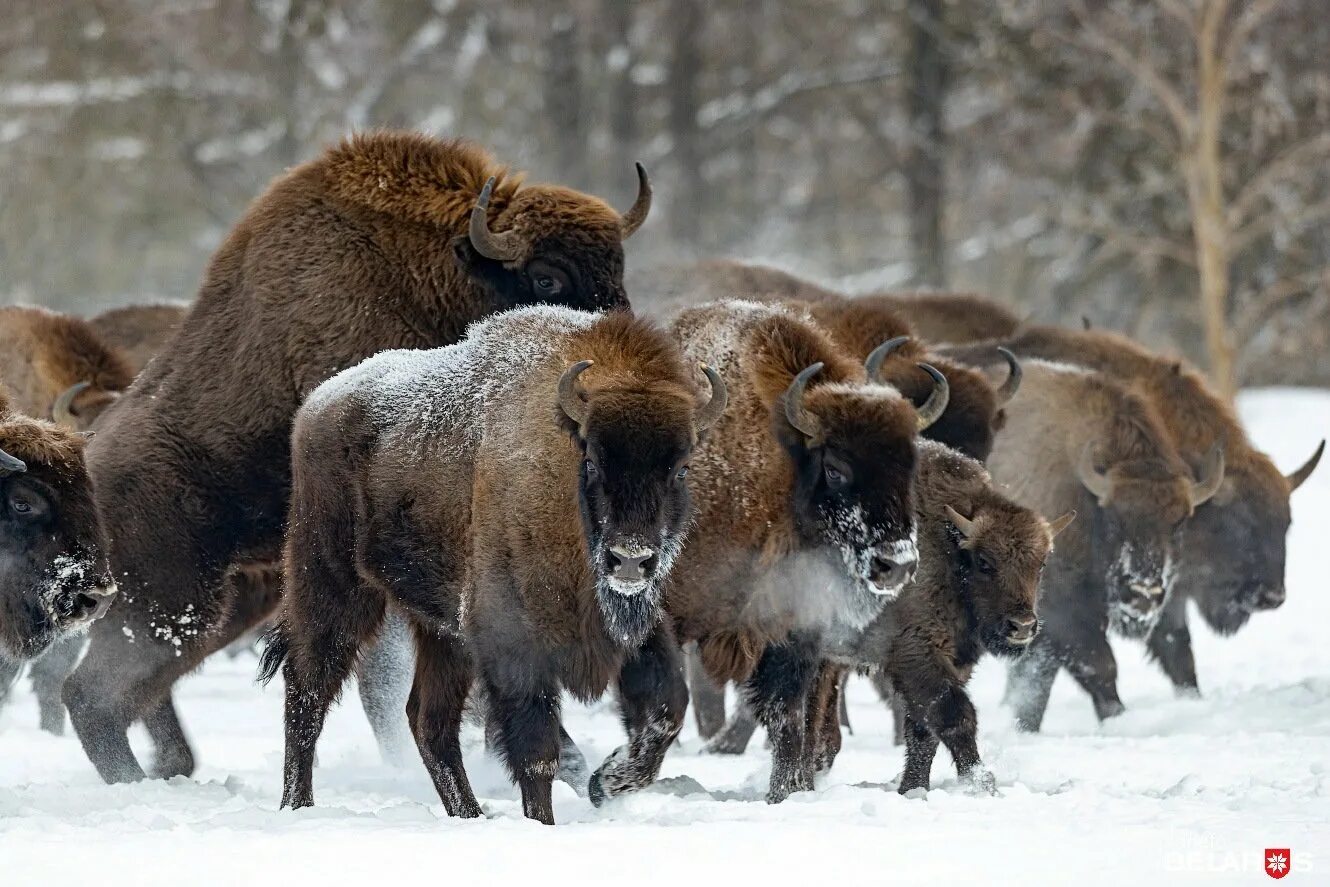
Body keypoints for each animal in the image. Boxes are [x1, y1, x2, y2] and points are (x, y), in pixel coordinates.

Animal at [64, 128, 657, 781]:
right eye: (548, 278)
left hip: (230, 599)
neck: (436, 272)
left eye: (619, 267)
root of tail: (87, 460)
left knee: (128, 692)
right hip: (172, 599)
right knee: (92, 694)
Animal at [254, 307, 723, 824]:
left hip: (442, 633)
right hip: (333, 586)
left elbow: (666, 710)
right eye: (594, 462)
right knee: (308, 691)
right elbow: (537, 751)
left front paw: (607, 782)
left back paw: (470, 814)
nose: (631, 559)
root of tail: (315, 406)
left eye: (680, 468)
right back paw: (297, 804)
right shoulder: (513, 642)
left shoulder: (638, 628)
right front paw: (545, 822)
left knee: (428, 720)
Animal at [590, 300, 946, 803]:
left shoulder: (791, 631)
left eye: (909, 464)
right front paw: (608, 781)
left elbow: (787, 716)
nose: (894, 564)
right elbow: (666, 706)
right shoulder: (655, 610)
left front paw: (788, 793)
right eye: (836, 469)